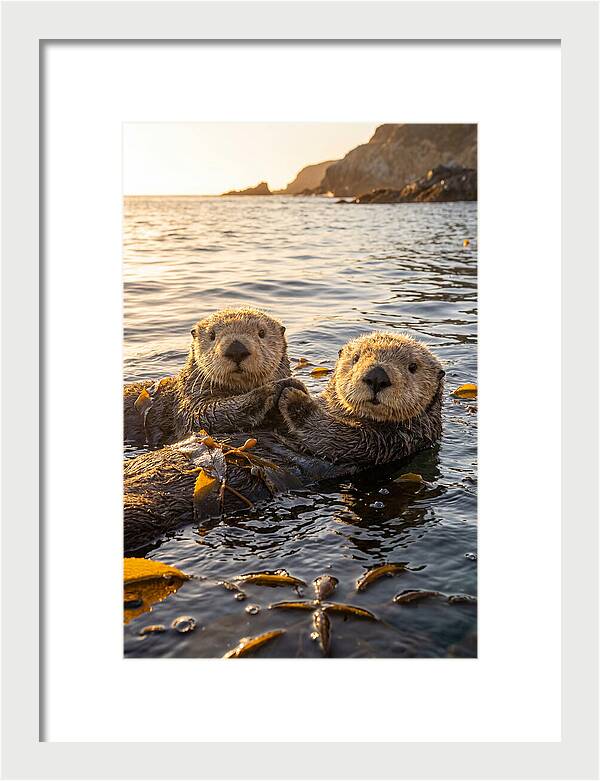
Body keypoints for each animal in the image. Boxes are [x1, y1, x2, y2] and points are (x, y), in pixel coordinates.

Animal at [123, 332, 444, 551]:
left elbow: (331, 434)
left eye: (412, 367)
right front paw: (280, 387)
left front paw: (293, 395)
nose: (377, 376)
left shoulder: (388, 442)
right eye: (356, 359)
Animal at [124, 307, 300, 447]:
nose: (236, 349)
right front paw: (275, 388)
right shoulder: (189, 402)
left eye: (262, 333)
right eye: (212, 335)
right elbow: (204, 415)